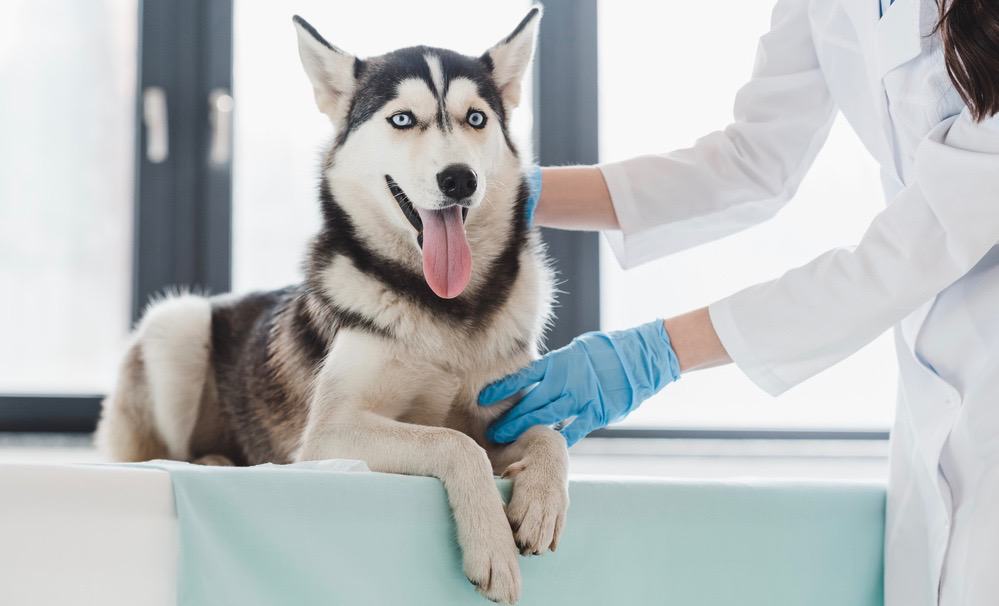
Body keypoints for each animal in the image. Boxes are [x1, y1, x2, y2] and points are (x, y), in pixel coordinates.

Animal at [97, 9, 568, 606]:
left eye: (477, 118)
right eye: (403, 118)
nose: (460, 178)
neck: (444, 309)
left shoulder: (505, 414)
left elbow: (548, 435)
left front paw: (541, 503)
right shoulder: (330, 433)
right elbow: (456, 442)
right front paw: (492, 547)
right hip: (175, 326)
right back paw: (210, 460)